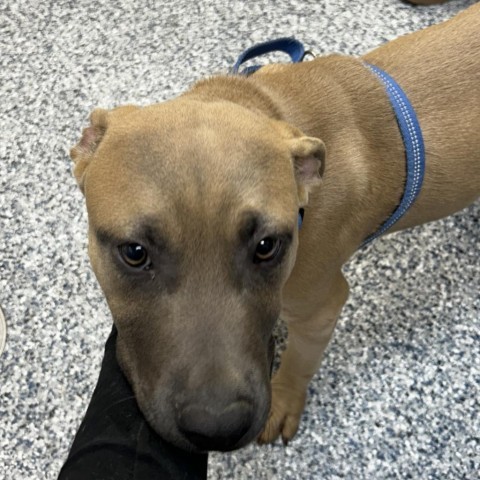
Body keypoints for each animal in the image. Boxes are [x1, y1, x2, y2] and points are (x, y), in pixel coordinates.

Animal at [71, 3, 480, 452]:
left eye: (267, 246)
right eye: (134, 252)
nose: (217, 426)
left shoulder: (321, 306)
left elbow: (300, 361)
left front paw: (284, 400)